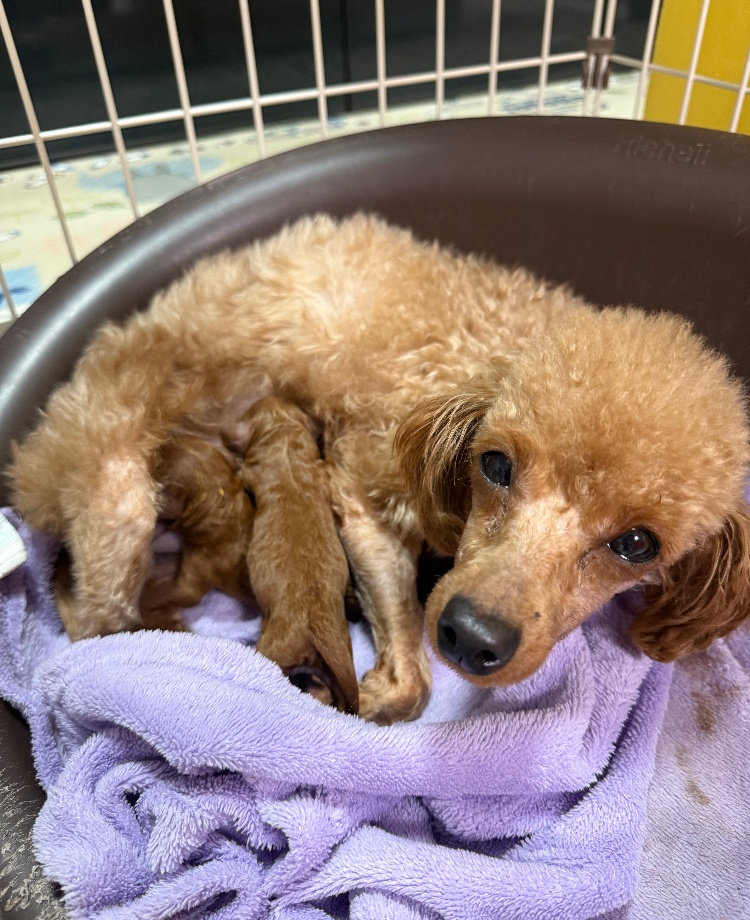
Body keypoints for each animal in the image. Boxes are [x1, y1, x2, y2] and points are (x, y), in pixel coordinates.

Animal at [9, 214, 750, 724]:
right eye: (495, 464)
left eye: (637, 544)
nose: (470, 637)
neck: (487, 353)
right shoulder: (364, 491)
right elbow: (414, 680)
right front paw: (372, 693)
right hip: (118, 494)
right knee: (91, 619)